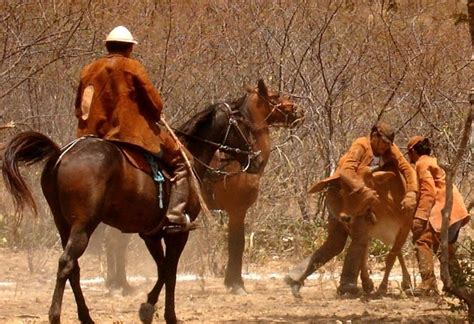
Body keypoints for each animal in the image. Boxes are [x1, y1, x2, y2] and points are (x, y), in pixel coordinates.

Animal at [0, 81, 274, 324]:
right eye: (244, 125)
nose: (257, 159)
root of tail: (61, 154)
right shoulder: (178, 233)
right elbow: (170, 271)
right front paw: (166, 314)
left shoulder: (150, 234)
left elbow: (162, 269)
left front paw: (148, 307)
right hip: (83, 226)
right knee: (67, 263)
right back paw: (55, 315)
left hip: (63, 225)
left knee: (74, 269)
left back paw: (86, 316)